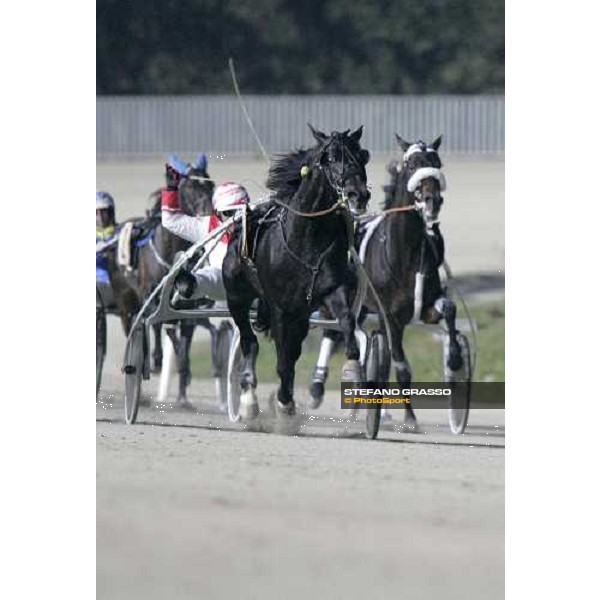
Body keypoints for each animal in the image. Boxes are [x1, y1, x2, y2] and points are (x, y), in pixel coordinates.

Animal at [220, 125, 370, 420]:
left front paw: (352, 368)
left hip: (300, 314)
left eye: (362, 156)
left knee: (291, 346)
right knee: (250, 341)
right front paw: (284, 402)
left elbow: (347, 321)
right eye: (331, 158)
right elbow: (282, 358)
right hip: (237, 297)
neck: (307, 239)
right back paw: (250, 400)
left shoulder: (331, 289)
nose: (358, 194)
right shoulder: (281, 307)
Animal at [310, 134, 464, 428]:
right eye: (412, 163)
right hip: (335, 300)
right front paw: (410, 418)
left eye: (437, 162)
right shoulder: (391, 317)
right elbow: (401, 366)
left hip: (361, 307)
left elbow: (449, 309)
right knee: (331, 331)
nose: (432, 200)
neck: (406, 252)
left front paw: (454, 359)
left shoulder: (425, 305)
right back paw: (317, 388)